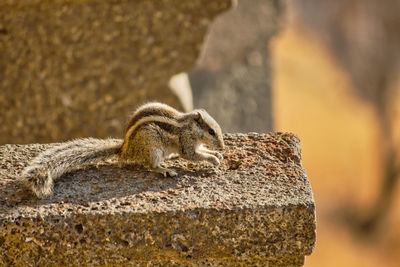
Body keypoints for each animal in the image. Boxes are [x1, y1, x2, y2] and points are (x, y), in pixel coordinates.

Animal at [22, 102, 225, 199]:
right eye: (211, 131)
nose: (223, 146)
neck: (190, 127)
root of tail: (125, 149)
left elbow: (202, 152)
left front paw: (216, 154)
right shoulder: (186, 143)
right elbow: (192, 155)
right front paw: (213, 159)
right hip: (152, 145)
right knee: (151, 166)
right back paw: (165, 169)